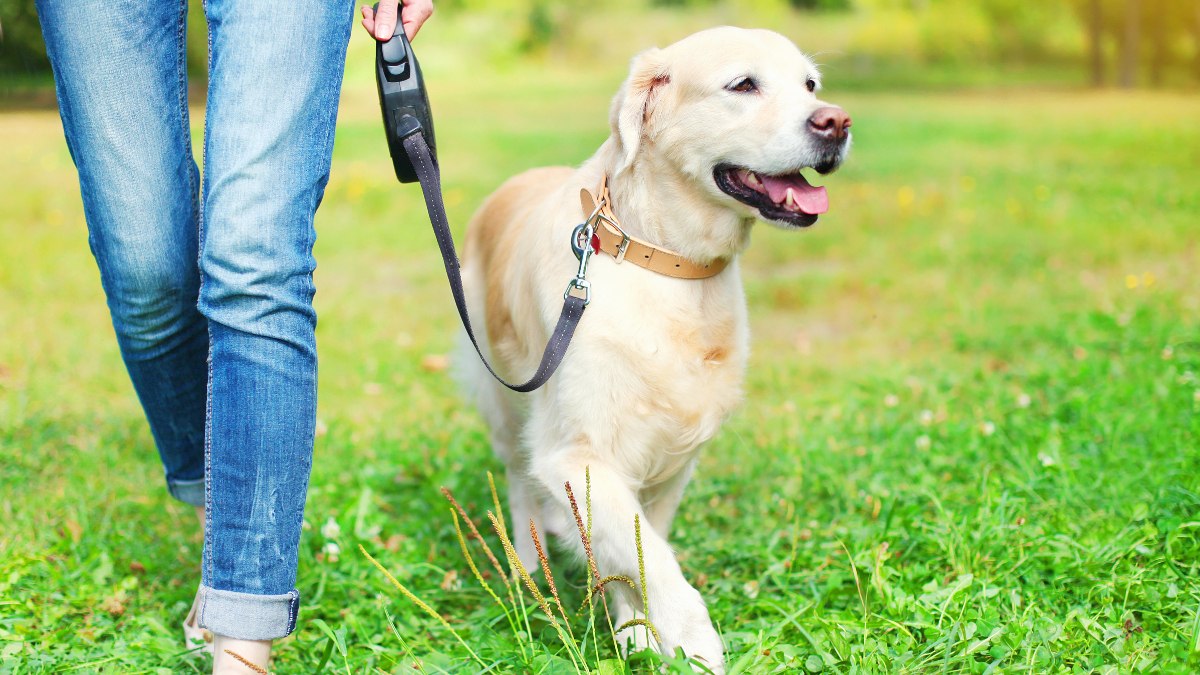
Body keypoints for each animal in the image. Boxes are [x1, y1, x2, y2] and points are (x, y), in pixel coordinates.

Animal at [453, 24, 849, 667]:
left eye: (811, 85)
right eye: (743, 85)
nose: (836, 122)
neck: (666, 262)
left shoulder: (672, 459)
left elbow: (638, 547)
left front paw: (636, 627)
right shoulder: (575, 453)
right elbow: (654, 560)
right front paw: (695, 646)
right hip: (503, 401)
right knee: (517, 481)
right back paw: (529, 565)